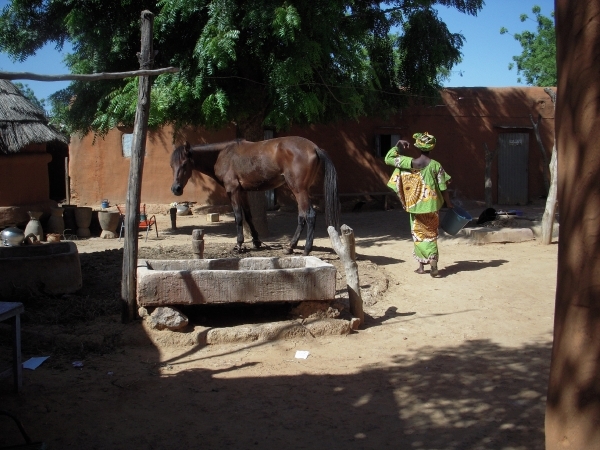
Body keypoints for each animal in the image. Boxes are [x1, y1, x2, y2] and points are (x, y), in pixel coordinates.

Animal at [171, 135, 340, 255]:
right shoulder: (243, 192)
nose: (176, 189)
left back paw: (304, 249)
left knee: (308, 215)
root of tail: (314, 147)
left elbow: (238, 217)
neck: (223, 155)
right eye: (172, 165)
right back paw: (290, 247)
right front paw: (256, 241)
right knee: (302, 216)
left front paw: (239, 245)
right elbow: (248, 216)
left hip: (299, 190)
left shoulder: (233, 191)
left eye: (184, 164)